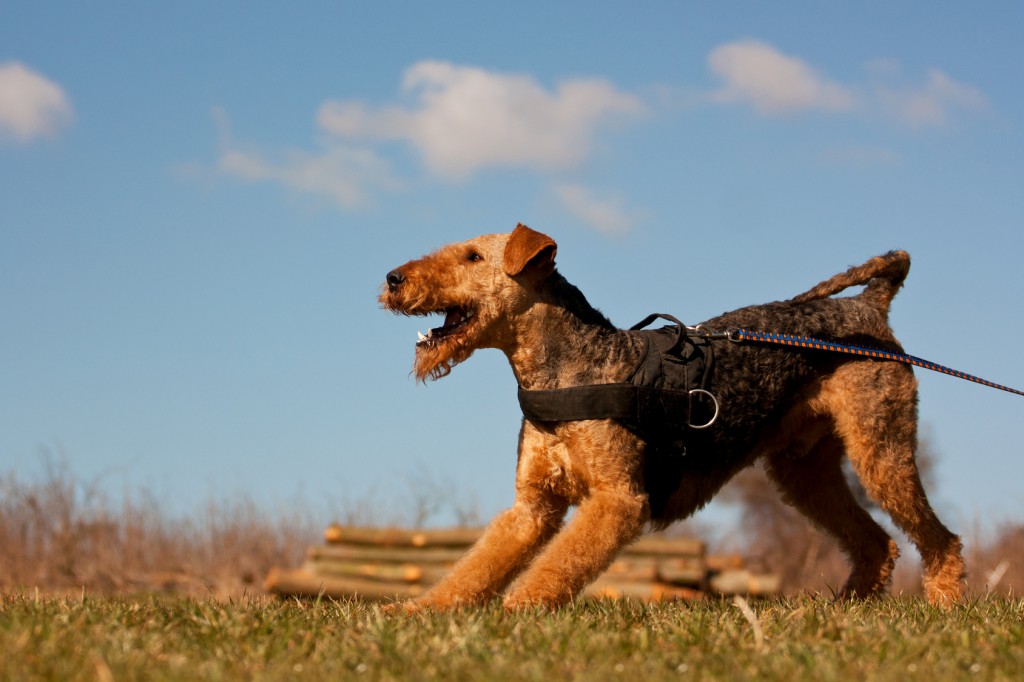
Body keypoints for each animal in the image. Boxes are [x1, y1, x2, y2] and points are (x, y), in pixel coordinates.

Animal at [380, 225, 962, 606]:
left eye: (474, 256)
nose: (392, 278)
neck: (568, 372)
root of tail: (869, 307)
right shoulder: (533, 507)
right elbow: (476, 567)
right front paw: (417, 612)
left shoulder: (618, 501)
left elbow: (554, 569)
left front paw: (516, 612)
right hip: (805, 470)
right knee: (877, 543)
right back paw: (840, 612)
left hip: (881, 451)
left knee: (941, 541)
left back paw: (943, 607)